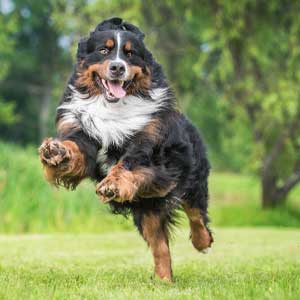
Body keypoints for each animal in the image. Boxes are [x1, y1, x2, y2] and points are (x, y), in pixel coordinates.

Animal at [38, 17, 213, 282]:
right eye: (104, 50)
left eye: (130, 54)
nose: (118, 68)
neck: (113, 106)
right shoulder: (84, 135)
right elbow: (76, 149)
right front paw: (56, 151)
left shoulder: (152, 150)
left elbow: (129, 163)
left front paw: (112, 184)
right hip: (147, 211)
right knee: (161, 248)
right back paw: (163, 282)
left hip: (190, 176)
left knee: (196, 212)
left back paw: (202, 242)